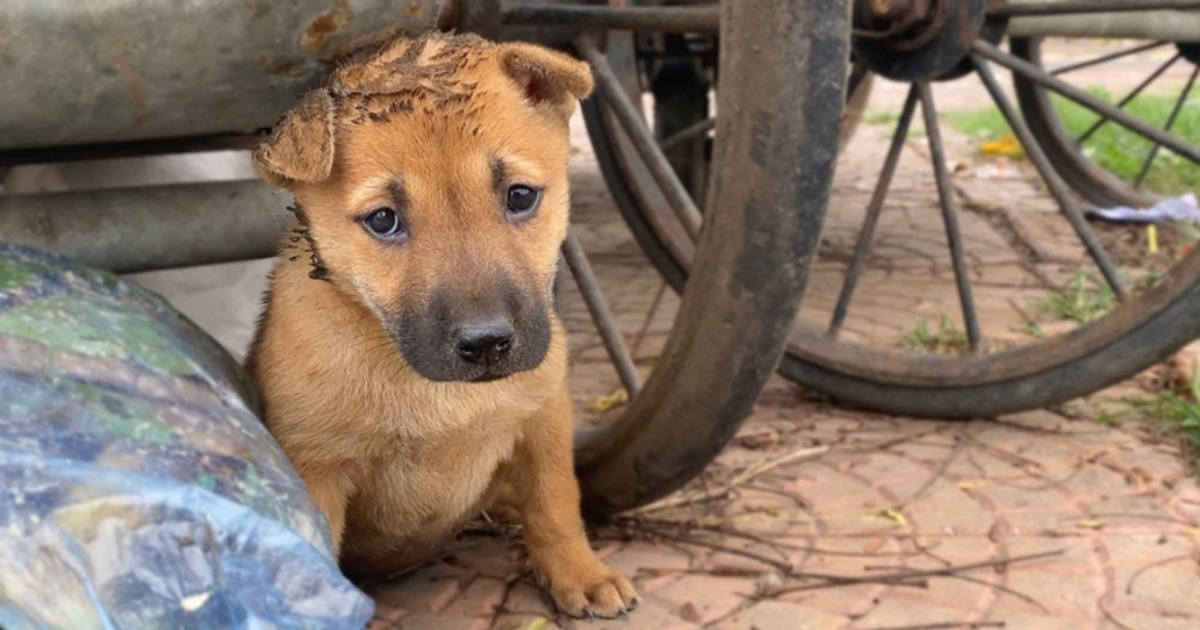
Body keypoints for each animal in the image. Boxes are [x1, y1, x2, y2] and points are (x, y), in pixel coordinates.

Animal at [243, 31, 638, 614]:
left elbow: (556, 503)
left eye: (521, 196)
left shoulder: (544, 418)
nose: (487, 343)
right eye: (383, 220)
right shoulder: (316, 468)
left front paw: (579, 572)